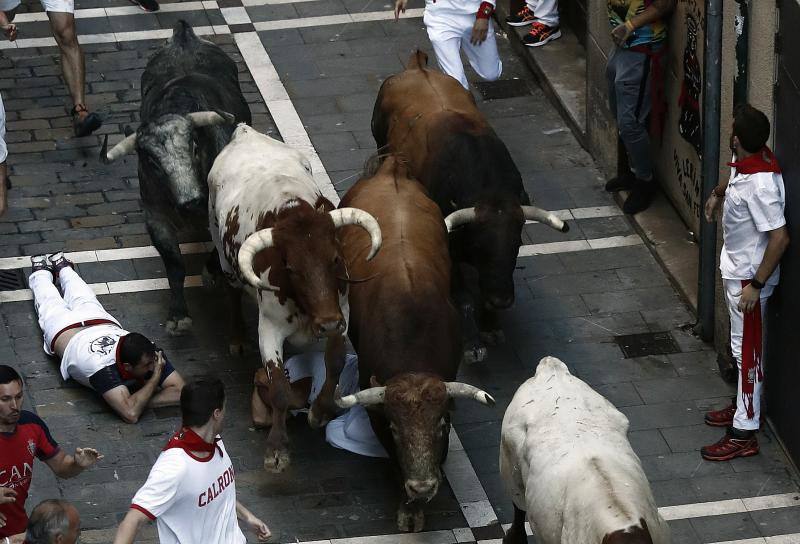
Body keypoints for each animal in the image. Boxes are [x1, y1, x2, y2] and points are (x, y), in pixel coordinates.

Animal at [206, 125, 382, 474]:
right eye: (291, 269)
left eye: (335, 259)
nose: (326, 324)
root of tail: (244, 131)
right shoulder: (270, 329)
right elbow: (278, 389)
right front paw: (277, 448)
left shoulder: (341, 311)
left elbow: (335, 362)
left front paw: (321, 411)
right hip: (223, 256)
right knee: (231, 292)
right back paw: (236, 339)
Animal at [372, 52, 564, 366]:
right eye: (479, 246)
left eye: (516, 244)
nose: (501, 299)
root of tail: (417, 67)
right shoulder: (449, 250)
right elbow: (461, 296)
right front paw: (472, 345)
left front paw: (491, 326)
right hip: (379, 144)